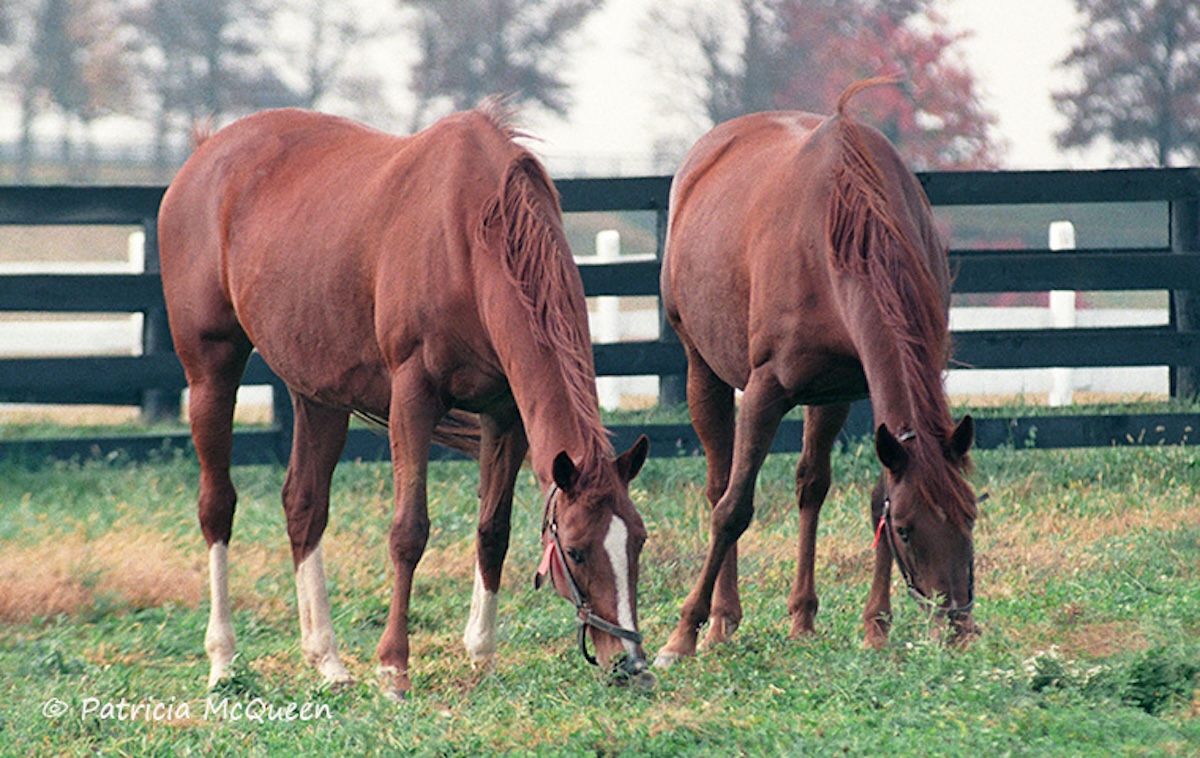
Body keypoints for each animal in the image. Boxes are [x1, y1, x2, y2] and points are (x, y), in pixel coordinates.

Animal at [158, 102, 653, 698]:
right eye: (576, 550)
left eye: (638, 542)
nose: (630, 663)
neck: (471, 235)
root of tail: (205, 154)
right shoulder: (412, 398)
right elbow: (409, 531)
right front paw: (394, 667)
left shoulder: (504, 412)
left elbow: (493, 530)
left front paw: (482, 655)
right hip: (211, 372)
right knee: (218, 507)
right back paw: (224, 660)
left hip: (317, 393)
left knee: (304, 507)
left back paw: (326, 660)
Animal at [653, 78, 978, 668]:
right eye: (907, 530)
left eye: (969, 515)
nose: (958, 626)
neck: (849, 232)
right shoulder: (764, 392)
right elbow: (734, 508)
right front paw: (683, 632)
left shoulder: (863, 392)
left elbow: (871, 496)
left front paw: (875, 626)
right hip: (702, 370)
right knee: (719, 485)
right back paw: (721, 620)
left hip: (829, 397)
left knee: (811, 485)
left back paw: (802, 617)